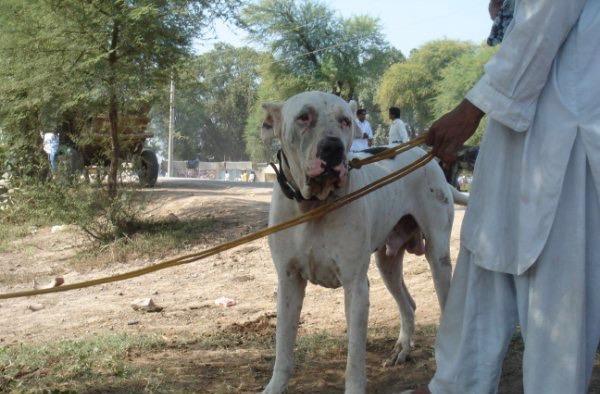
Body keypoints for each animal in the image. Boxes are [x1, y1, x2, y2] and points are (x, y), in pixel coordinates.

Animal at [262, 92, 464, 394]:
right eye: (303, 117)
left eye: (345, 121)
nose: (332, 148)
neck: (314, 205)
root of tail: (424, 156)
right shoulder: (288, 281)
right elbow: (283, 347)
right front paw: (275, 386)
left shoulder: (356, 286)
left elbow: (355, 357)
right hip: (387, 263)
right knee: (408, 304)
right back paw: (402, 349)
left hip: (438, 256)